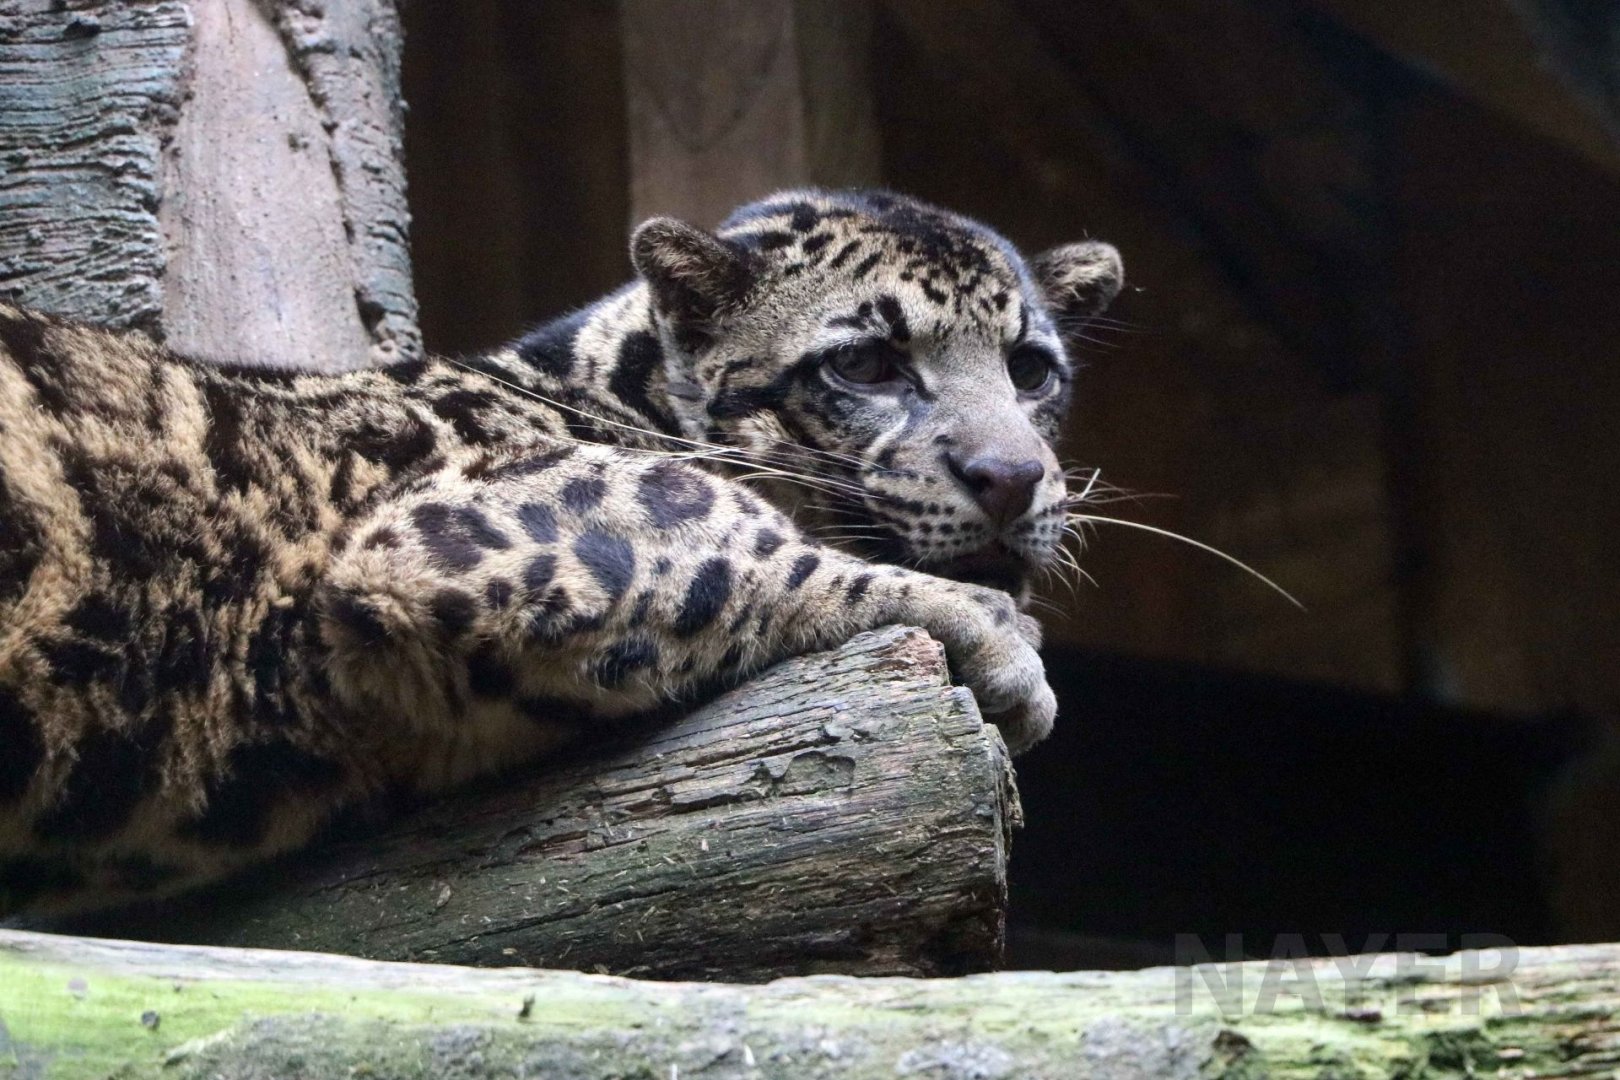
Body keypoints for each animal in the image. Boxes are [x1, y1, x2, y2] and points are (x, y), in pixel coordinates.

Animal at [0, 188, 1123, 915]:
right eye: (867, 364)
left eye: (1032, 371)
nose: (1013, 475)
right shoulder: (453, 528)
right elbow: (746, 534)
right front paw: (996, 636)